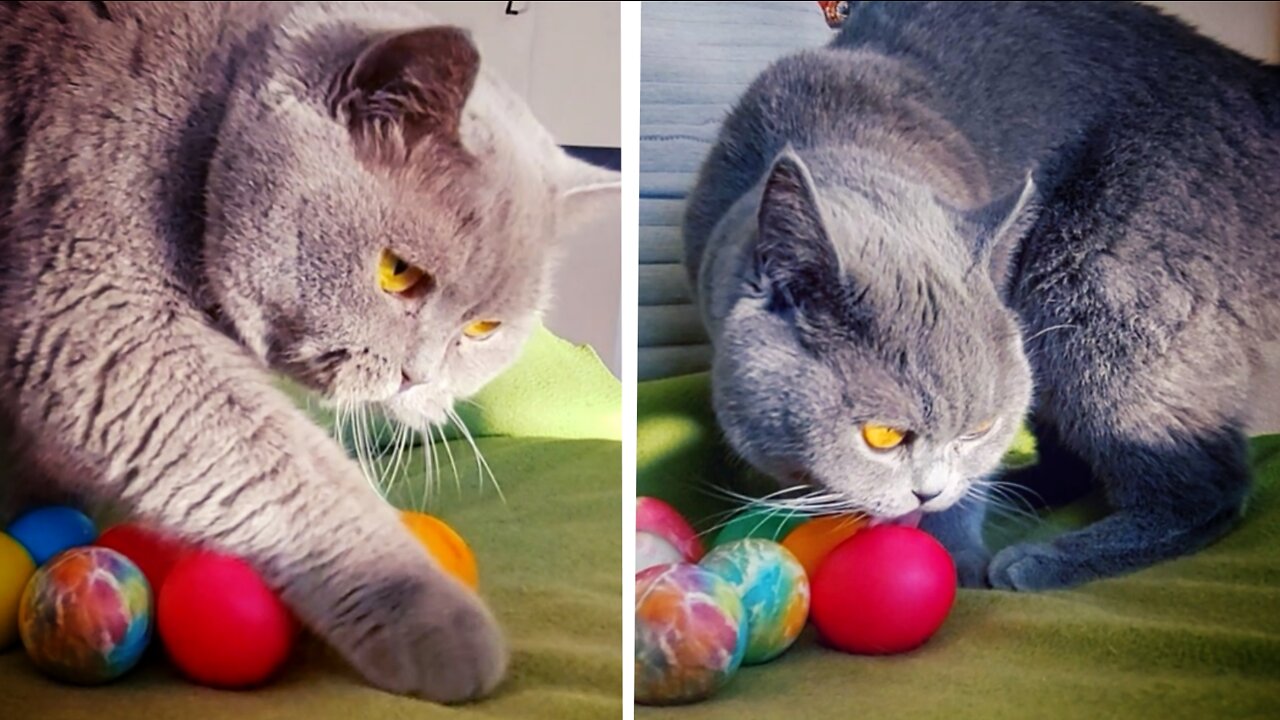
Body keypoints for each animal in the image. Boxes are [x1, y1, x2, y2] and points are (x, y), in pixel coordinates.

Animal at [0, 0, 616, 702]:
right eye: (396, 271)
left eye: (483, 329)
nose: (417, 376)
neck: (200, 117)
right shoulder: (99, 306)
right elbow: (286, 468)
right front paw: (439, 621)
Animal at [686, 1, 1274, 589]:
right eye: (882, 436)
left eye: (980, 429)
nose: (928, 492)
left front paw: (957, 557)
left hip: (1095, 292)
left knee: (1207, 484)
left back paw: (1039, 558)